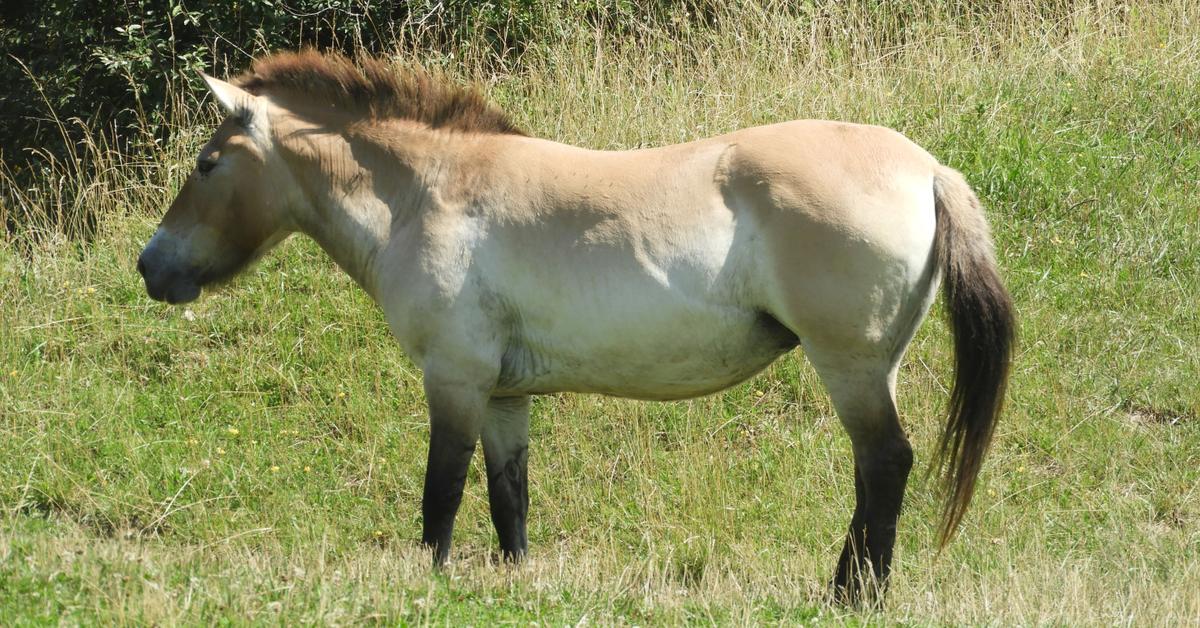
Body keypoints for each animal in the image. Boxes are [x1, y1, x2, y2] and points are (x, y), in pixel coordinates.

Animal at [138, 50, 1012, 605]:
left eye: (207, 164)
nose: (151, 267)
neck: (428, 193)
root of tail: (928, 170)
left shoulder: (453, 380)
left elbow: (440, 496)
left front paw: (430, 585)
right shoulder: (502, 395)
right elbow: (509, 499)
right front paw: (513, 586)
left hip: (850, 366)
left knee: (884, 465)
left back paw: (851, 597)